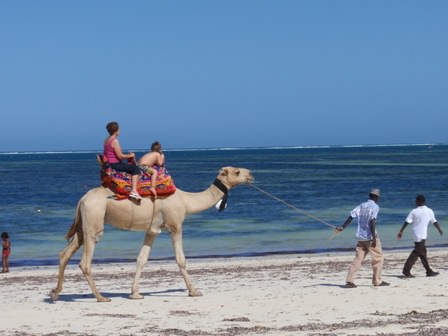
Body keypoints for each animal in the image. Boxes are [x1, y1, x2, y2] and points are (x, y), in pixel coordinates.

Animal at [50, 167, 254, 304]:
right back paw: (101, 297)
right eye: (237, 172)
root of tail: (82, 199)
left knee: (64, 254)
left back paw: (55, 293)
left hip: (82, 226)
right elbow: (181, 259)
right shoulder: (175, 225)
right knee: (85, 261)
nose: (251, 174)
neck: (186, 200)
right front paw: (194, 291)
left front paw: (134, 293)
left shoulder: (152, 230)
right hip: (94, 222)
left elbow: (142, 259)